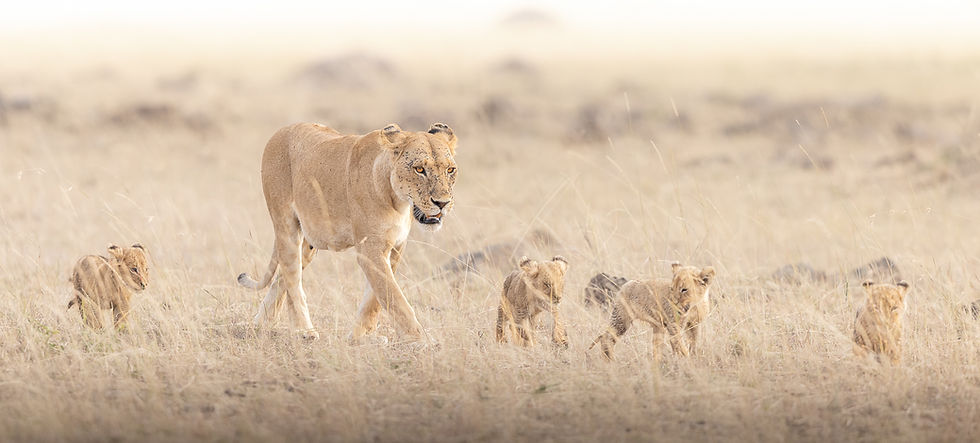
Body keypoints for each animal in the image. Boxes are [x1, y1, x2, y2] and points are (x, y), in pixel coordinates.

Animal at [237, 122, 458, 341]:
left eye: (450, 170)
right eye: (419, 169)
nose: (442, 203)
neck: (399, 202)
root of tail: (283, 129)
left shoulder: (394, 248)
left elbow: (374, 299)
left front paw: (360, 338)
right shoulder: (370, 250)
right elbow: (394, 297)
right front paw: (421, 340)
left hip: (309, 243)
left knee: (282, 277)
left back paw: (259, 324)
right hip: (285, 225)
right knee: (292, 278)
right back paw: (303, 331)